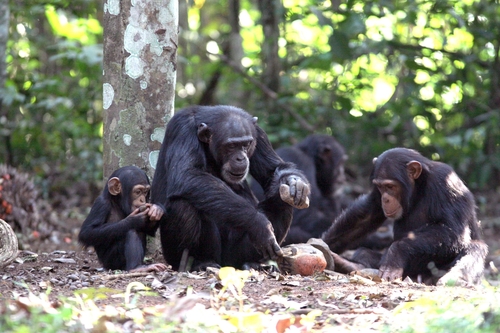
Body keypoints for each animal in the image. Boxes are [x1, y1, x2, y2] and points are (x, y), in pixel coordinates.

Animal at [150, 105, 310, 272]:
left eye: (246, 144)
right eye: (231, 146)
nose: (240, 158)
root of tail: (226, 264)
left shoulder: (258, 134)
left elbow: (273, 170)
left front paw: (295, 182)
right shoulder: (182, 129)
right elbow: (187, 174)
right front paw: (260, 224)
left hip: (237, 254)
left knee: (282, 199)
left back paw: (252, 262)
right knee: (182, 204)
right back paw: (199, 262)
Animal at [320, 148, 488, 286]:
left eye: (390, 186)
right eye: (380, 187)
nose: (385, 199)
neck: (418, 188)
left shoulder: (446, 183)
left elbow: (452, 231)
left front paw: (395, 254)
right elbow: (367, 215)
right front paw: (322, 243)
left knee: (475, 248)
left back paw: (455, 279)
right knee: (363, 252)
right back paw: (351, 265)